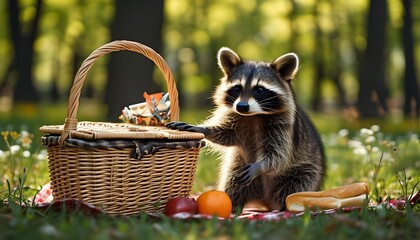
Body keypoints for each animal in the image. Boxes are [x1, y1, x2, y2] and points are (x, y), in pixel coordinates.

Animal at [166, 47, 326, 211]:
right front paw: (204, 129)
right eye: (237, 88)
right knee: (233, 184)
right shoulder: (235, 117)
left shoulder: (283, 126)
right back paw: (233, 205)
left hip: (305, 169)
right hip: (238, 166)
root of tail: (266, 201)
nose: (242, 106)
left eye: (260, 89)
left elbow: (279, 154)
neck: (254, 115)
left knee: (295, 187)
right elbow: (225, 134)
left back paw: (285, 208)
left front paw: (260, 166)